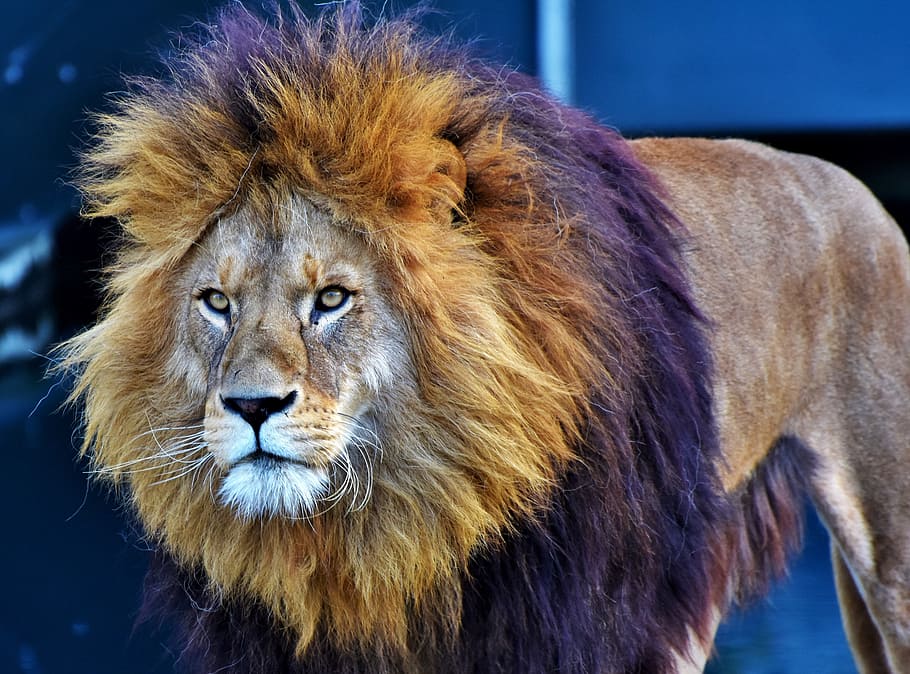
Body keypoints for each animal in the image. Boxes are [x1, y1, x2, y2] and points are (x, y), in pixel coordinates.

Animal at [60, 3, 910, 673]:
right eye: (216, 303)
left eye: (331, 299)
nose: (251, 407)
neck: (394, 519)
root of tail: (850, 182)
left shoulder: (588, 623)